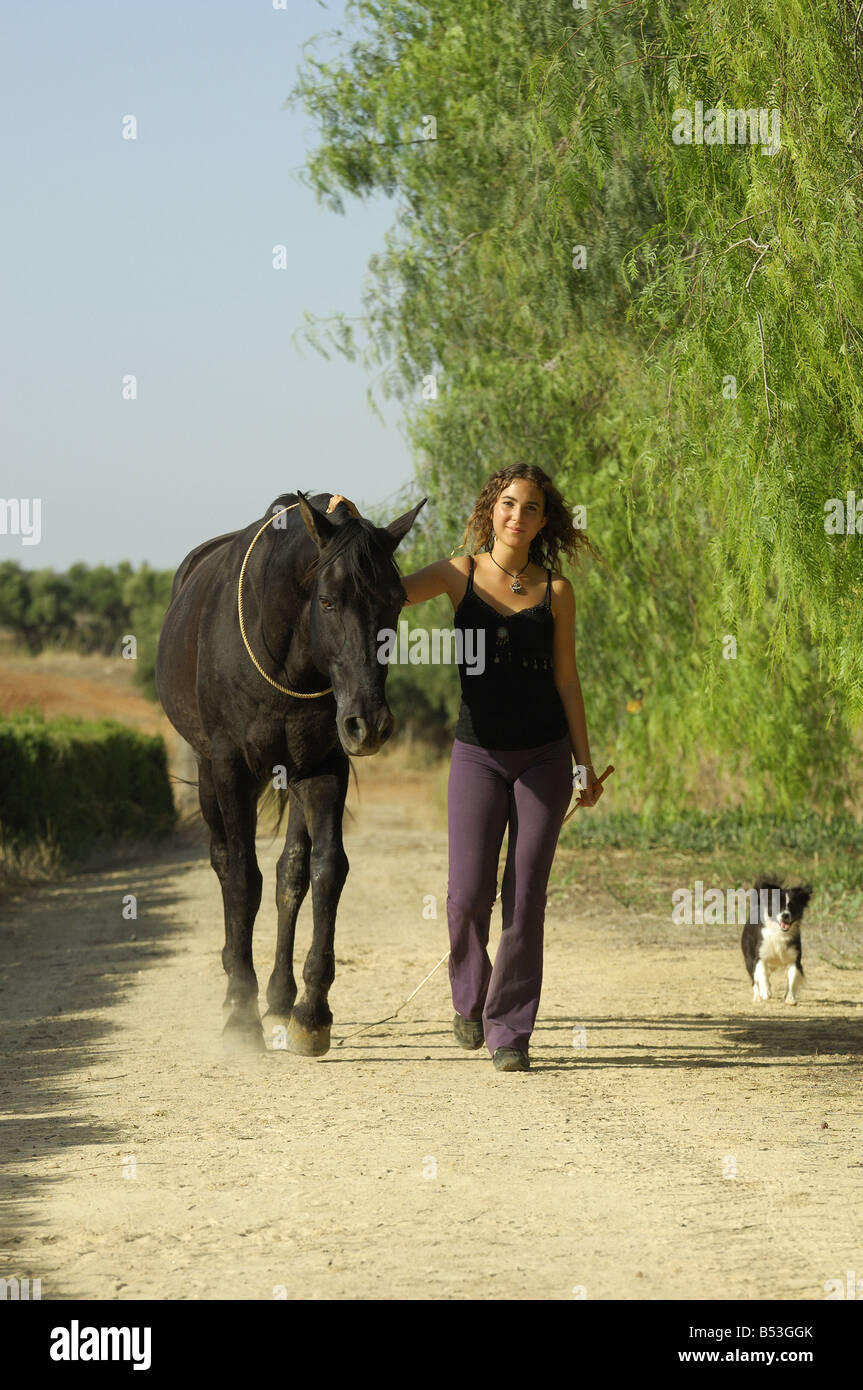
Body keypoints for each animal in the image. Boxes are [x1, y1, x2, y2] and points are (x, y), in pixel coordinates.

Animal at [156, 492, 425, 1050]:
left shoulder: (322, 767)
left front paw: (312, 1011)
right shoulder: (231, 769)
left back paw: (280, 997)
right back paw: (234, 983)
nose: (369, 724)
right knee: (224, 862)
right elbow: (242, 877)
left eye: (395, 602)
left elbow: (324, 870)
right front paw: (240, 1013)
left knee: (290, 873)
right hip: (210, 774)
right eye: (327, 601)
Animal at [739, 872, 817, 1006]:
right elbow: (761, 974)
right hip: (748, 956)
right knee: (754, 978)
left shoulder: (794, 960)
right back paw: (757, 996)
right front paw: (765, 992)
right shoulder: (760, 956)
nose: (785, 915)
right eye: (777, 906)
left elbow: (792, 979)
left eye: (792, 906)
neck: (780, 933)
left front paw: (790, 998)